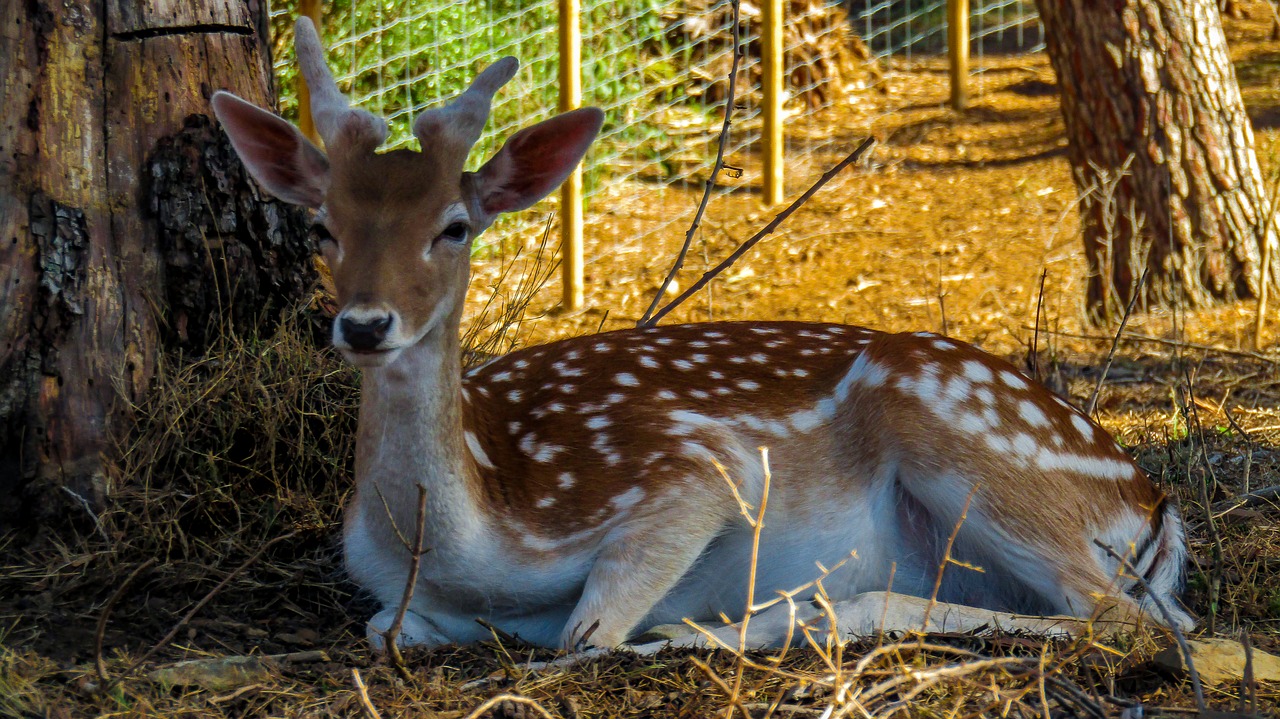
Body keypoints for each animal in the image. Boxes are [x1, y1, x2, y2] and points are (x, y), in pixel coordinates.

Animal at [212, 19, 1187, 652]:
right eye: (322, 227)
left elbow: (587, 632)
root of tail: (1151, 503)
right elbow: (386, 625)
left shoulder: (690, 473)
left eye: (455, 226)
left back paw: (750, 621)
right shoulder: (389, 592)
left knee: (1126, 620)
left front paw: (660, 623)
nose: (365, 323)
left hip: (964, 434)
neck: (475, 543)